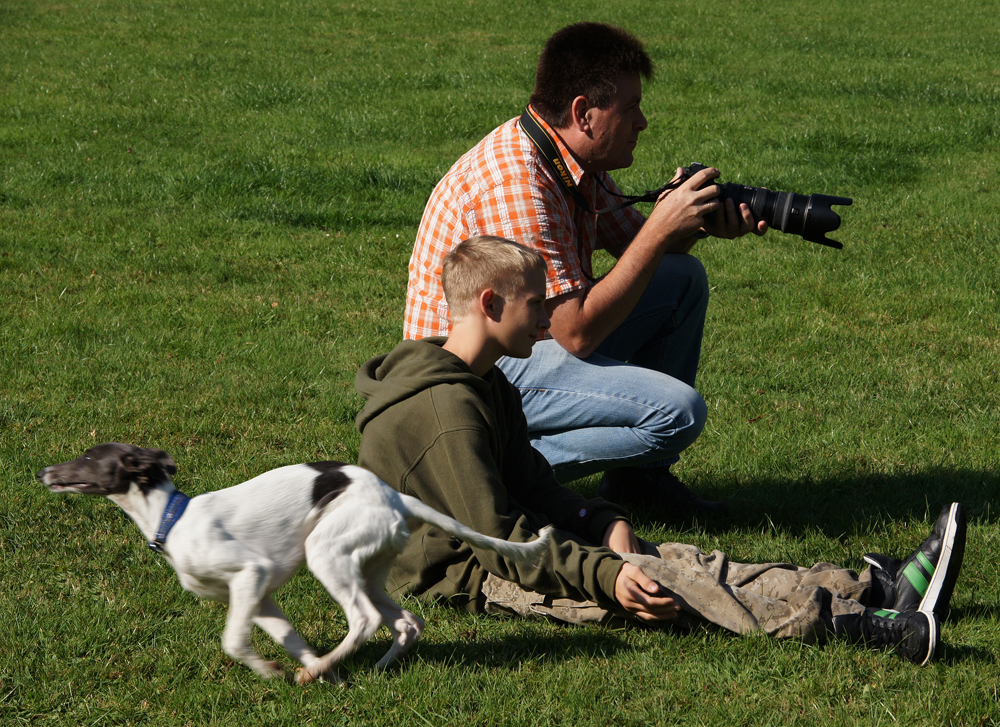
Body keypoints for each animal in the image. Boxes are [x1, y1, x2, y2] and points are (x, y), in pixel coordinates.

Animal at [37, 440, 556, 684]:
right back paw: (370, 667)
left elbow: (232, 642)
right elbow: (288, 639)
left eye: (90, 457)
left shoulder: (252, 573)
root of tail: (395, 495)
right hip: (369, 568)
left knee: (365, 619)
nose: (43, 472)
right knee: (408, 622)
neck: (173, 518)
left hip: (327, 554)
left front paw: (283, 672)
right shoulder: (258, 597)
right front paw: (317, 674)